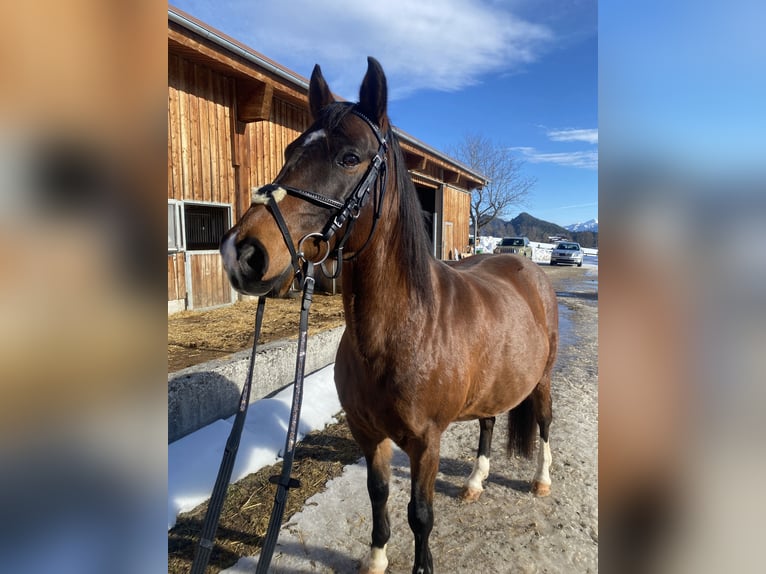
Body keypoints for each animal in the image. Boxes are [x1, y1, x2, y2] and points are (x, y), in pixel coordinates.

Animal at [220, 57, 558, 574]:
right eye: (290, 149)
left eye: (349, 157)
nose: (244, 252)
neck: (405, 330)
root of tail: (527, 266)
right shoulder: (367, 433)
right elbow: (378, 492)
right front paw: (376, 557)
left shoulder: (426, 443)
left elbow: (420, 515)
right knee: (487, 422)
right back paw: (475, 482)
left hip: (541, 377)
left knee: (543, 420)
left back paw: (541, 479)